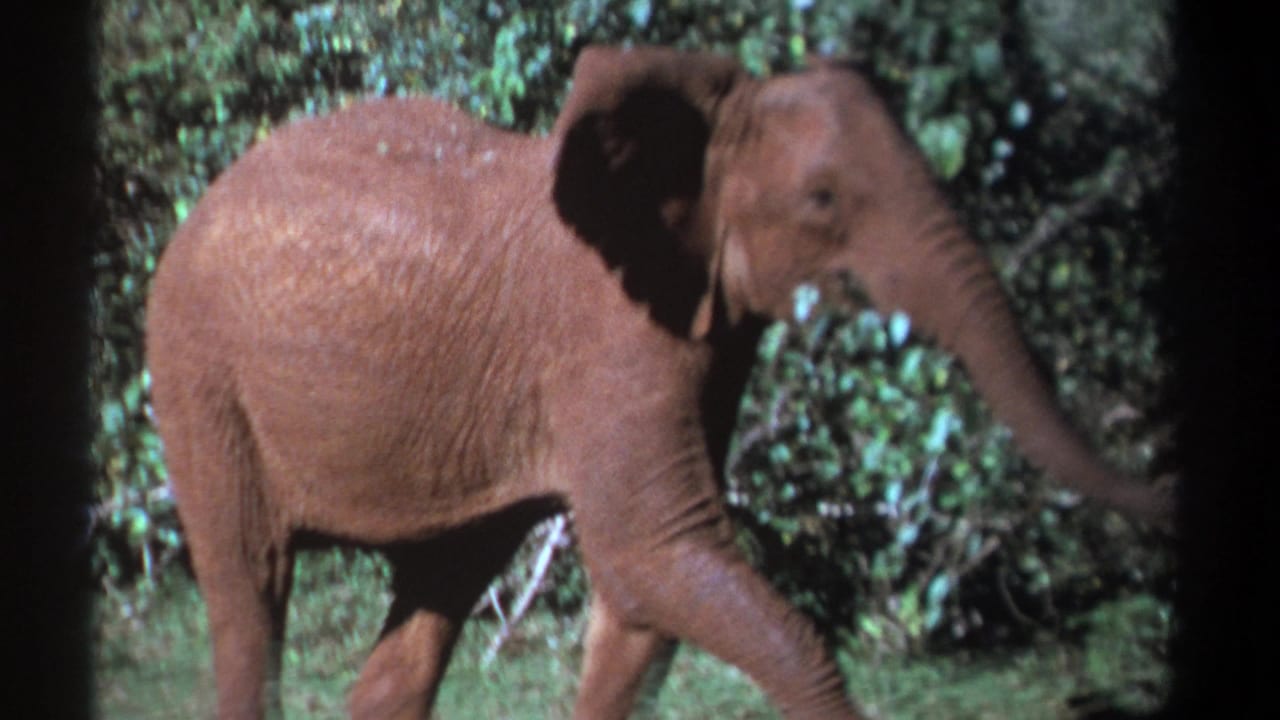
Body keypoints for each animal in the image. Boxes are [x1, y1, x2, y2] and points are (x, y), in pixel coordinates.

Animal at [146, 45, 1169, 719]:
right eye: (823, 201)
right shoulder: (615, 337)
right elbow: (658, 555)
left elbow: (638, 607)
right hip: (196, 371)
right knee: (249, 589)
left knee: (432, 597)